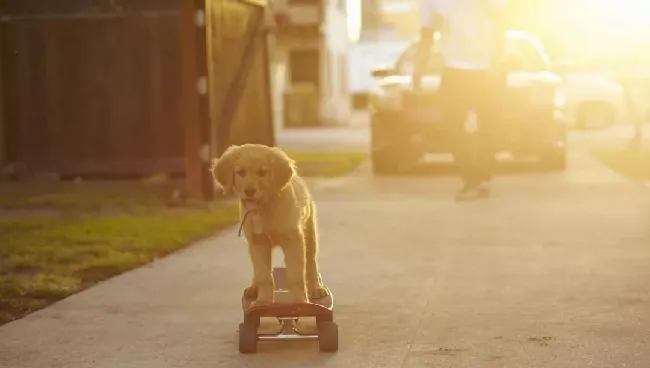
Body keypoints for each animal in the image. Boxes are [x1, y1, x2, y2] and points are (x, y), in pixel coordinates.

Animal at [211, 144, 330, 308]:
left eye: (262, 172)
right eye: (241, 172)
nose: (249, 191)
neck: (264, 209)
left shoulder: (294, 241)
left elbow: (296, 275)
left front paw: (300, 301)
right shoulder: (258, 243)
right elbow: (263, 275)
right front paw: (263, 301)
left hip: (310, 234)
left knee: (311, 263)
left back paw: (316, 288)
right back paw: (254, 288)